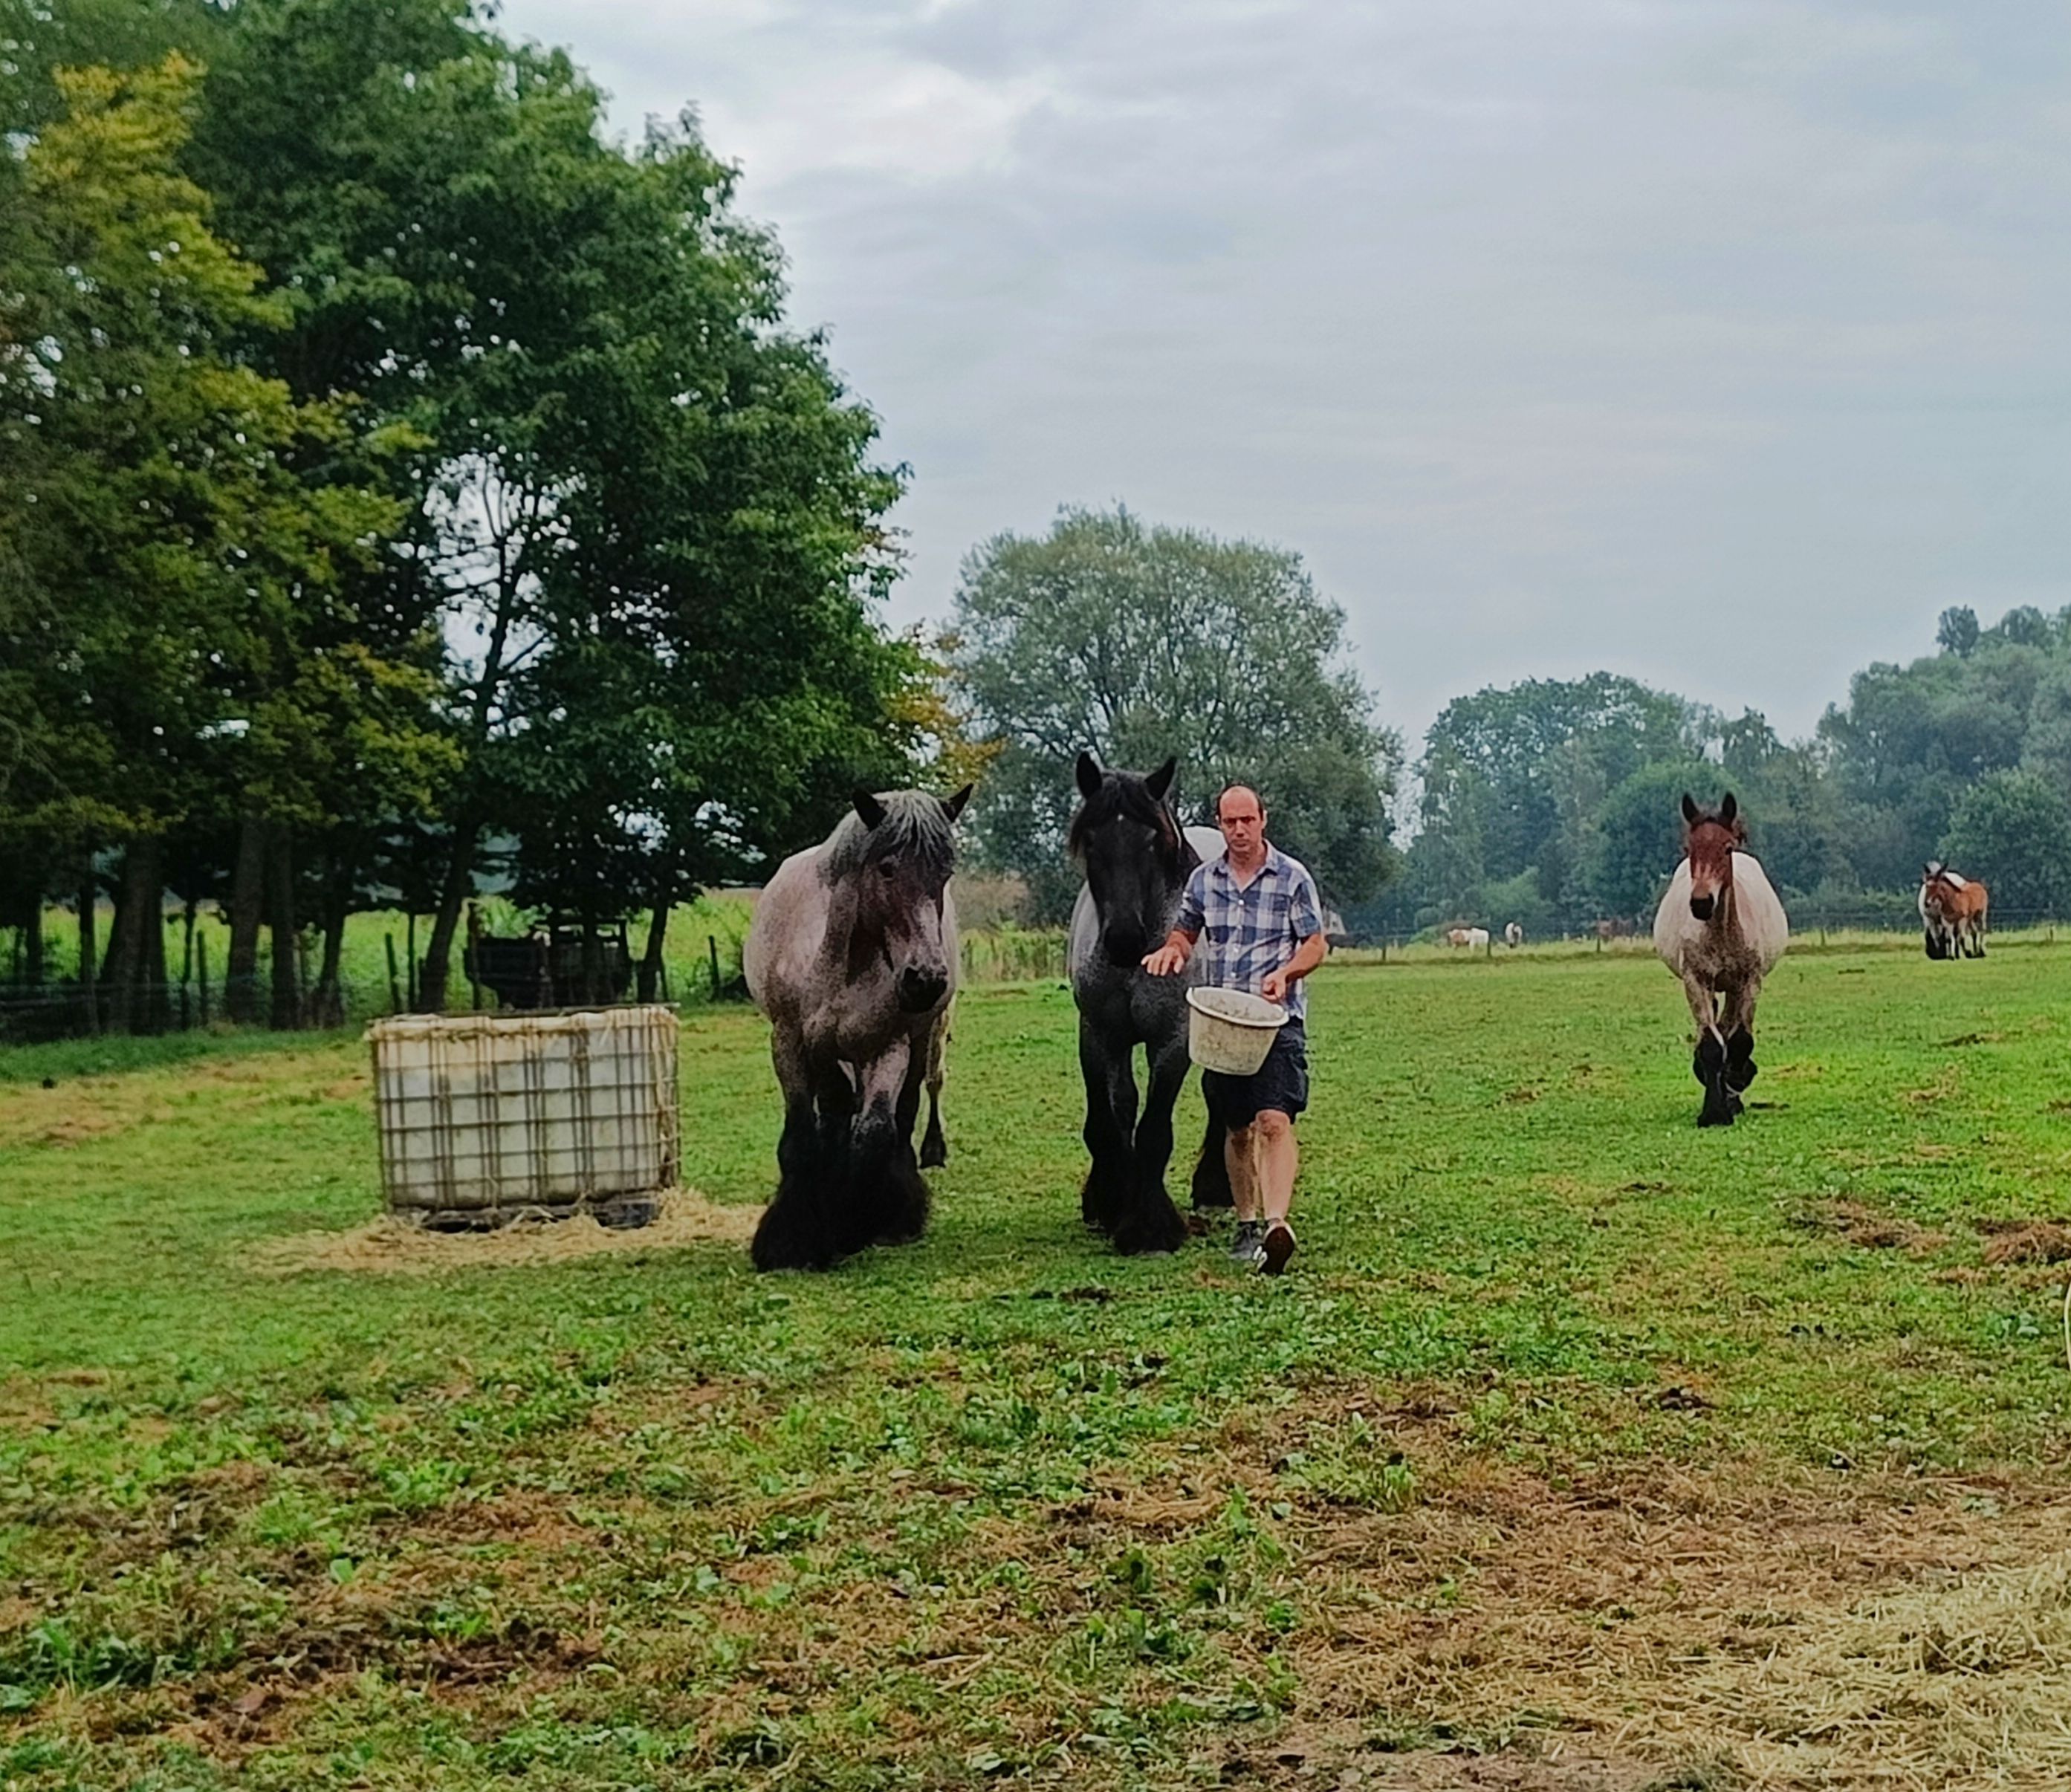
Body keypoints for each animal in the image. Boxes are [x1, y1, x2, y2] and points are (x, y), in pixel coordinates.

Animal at [745, 787, 969, 1276]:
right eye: (886, 868)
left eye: (945, 872)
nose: (926, 978)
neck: (836, 961)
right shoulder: (792, 1042)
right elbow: (802, 1137)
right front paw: (790, 1242)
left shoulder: (887, 1045)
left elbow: (875, 1131)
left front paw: (855, 1224)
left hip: (920, 1040)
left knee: (910, 1105)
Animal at [1069, 753, 1225, 1259]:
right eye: (1092, 840)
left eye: (1152, 841)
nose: (1123, 938)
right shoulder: (1098, 1035)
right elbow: (1107, 1120)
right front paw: (1110, 1201)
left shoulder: (1173, 1040)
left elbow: (1155, 1130)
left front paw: (1149, 1228)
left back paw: (1215, 1186)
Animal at [1648, 795, 1798, 1126]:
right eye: (1688, 848)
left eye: (1727, 848)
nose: (1702, 903)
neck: (1721, 932)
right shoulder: (1696, 980)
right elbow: (1712, 1045)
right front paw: (1714, 1112)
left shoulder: (1749, 980)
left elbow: (1739, 1041)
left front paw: (1735, 1087)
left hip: (1733, 987)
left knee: (1730, 1029)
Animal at [1913, 861, 1980, 957]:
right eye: (1926, 885)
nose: (1927, 903)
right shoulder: (1929, 919)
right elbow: (1936, 937)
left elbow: (1948, 937)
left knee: (1963, 933)